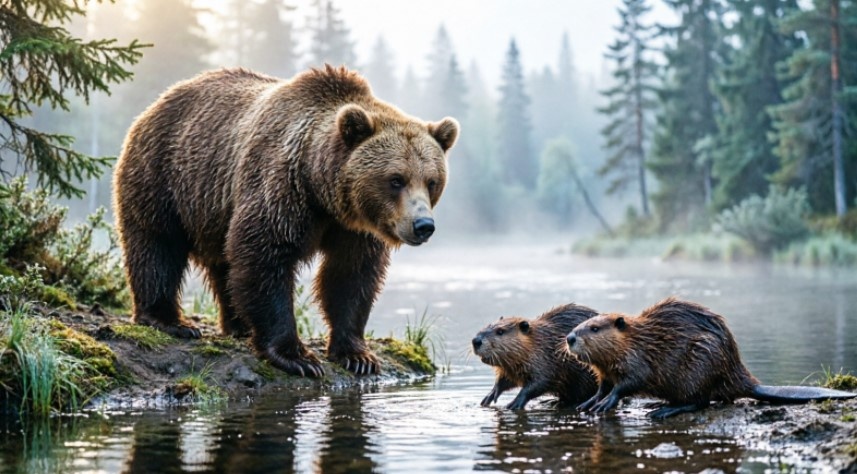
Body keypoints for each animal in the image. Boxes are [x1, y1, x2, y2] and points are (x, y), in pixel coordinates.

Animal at [113, 66, 458, 377]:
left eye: (432, 181)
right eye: (396, 179)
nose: (423, 225)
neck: (322, 191)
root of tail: (157, 103)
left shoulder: (354, 229)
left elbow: (350, 276)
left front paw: (357, 355)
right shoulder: (281, 189)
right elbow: (264, 257)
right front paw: (298, 357)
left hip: (214, 207)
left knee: (224, 262)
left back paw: (238, 324)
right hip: (166, 175)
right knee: (157, 245)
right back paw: (170, 320)